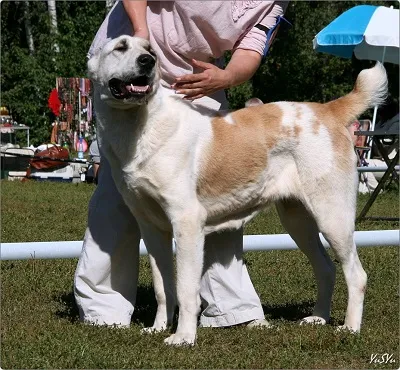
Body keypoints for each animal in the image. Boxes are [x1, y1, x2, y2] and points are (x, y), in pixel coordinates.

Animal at [88, 36, 388, 346]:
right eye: (120, 48)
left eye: (150, 51)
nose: (147, 61)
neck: (137, 124)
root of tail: (328, 110)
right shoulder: (151, 228)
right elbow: (163, 287)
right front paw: (158, 328)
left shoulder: (187, 222)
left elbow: (185, 289)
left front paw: (183, 337)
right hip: (298, 221)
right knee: (327, 268)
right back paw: (318, 318)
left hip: (332, 217)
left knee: (356, 274)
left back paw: (350, 327)